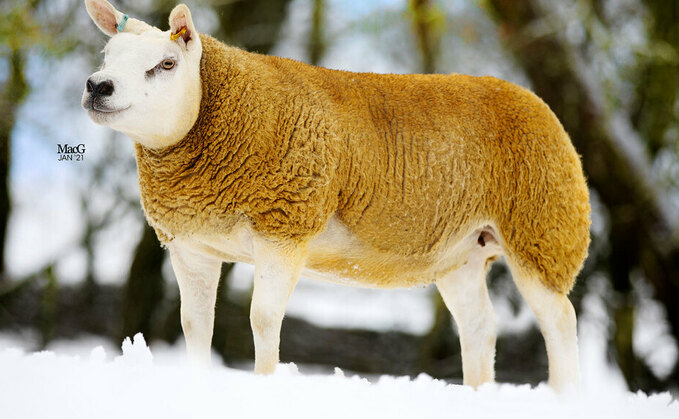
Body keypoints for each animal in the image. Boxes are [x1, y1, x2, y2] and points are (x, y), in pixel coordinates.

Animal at [83, 0, 588, 394]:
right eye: (107, 54)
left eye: (167, 64)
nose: (97, 86)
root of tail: (534, 101)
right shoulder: (192, 245)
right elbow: (194, 324)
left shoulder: (285, 225)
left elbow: (263, 319)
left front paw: (263, 387)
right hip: (462, 251)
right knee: (480, 328)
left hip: (543, 230)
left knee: (561, 321)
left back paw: (563, 397)